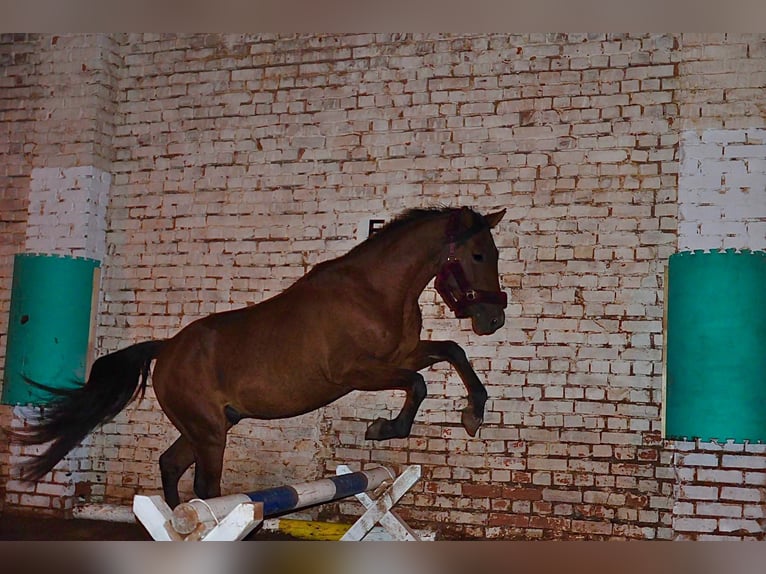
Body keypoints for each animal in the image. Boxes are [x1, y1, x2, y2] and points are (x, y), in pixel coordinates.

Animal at [15, 206, 508, 508]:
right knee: (206, 486)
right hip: (209, 432)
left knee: (172, 466)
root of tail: (167, 348)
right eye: (478, 254)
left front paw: (473, 413)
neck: (373, 291)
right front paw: (386, 428)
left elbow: (453, 352)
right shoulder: (356, 372)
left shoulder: (404, 353)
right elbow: (418, 384)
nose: (494, 318)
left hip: (210, 426)